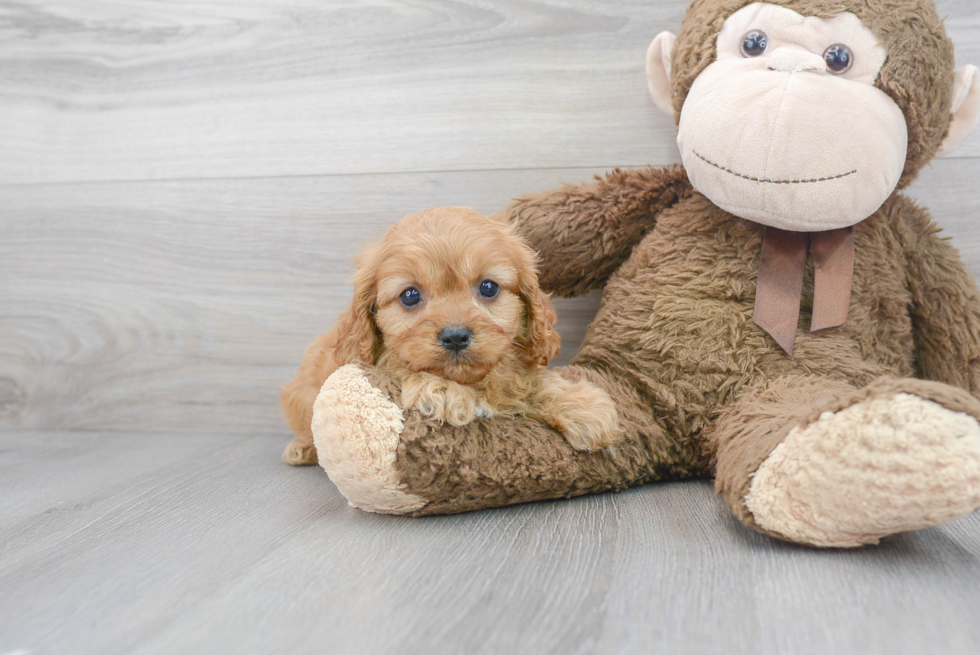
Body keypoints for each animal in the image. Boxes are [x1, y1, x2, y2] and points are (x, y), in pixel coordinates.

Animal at [284, 208, 620, 464]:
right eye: (409, 295)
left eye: (488, 287)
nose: (455, 336)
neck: (473, 382)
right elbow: (402, 365)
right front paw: (443, 389)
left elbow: (533, 380)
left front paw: (581, 406)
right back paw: (302, 449)